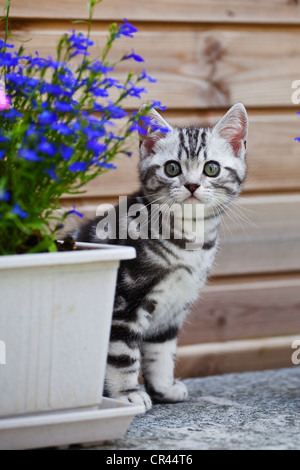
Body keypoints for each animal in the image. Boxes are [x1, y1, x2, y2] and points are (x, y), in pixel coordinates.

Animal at [75, 103, 248, 412]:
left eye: (212, 168)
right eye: (172, 168)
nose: (191, 185)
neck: (189, 240)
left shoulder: (174, 306)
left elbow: (161, 351)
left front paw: (163, 387)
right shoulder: (125, 302)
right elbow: (122, 354)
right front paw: (126, 395)